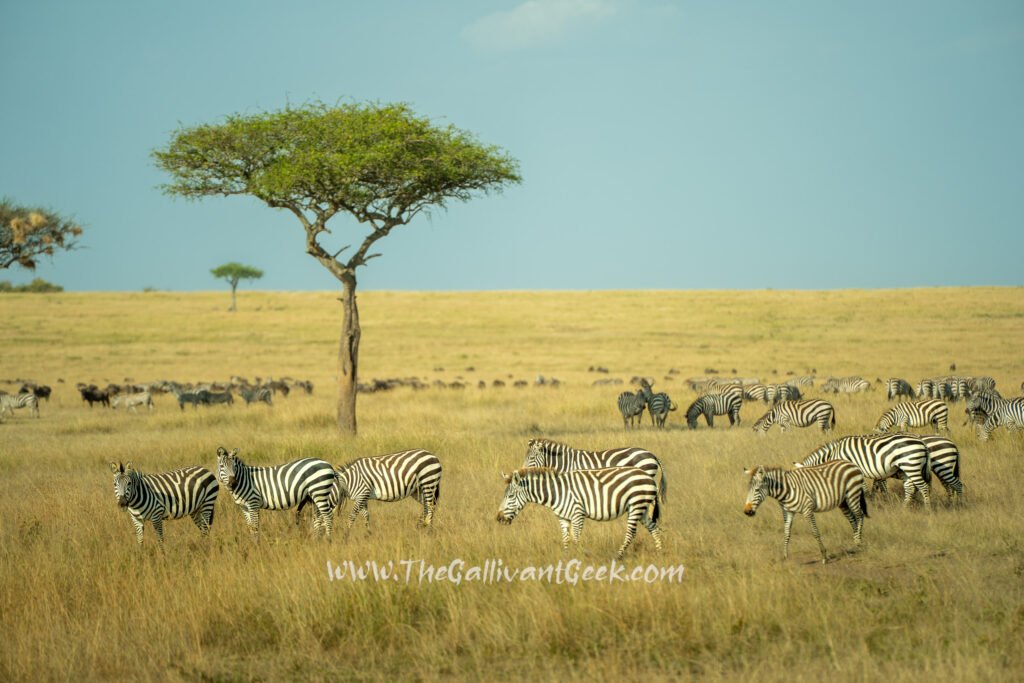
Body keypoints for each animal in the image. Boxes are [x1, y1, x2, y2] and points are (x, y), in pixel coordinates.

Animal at [496, 466, 663, 559]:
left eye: (510, 496)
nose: (498, 518)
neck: (557, 492)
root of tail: (648, 476)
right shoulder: (563, 517)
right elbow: (565, 539)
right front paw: (566, 559)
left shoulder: (577, 514)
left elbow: (575, 538)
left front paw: (579, 559)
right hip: (641, 508)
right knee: (653, 527)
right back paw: (659, 553)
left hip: (636, 504)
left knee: (631, 533)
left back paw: (618, 556)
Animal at [796, 433, 931, 509]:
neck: (834, 454)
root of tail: (922, 442)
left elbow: (863, 491)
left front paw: (868, 504)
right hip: (905, 469)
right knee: (910, 488)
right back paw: (904, 508)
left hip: (911, 464)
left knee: (923, 487)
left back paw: (927, 510)